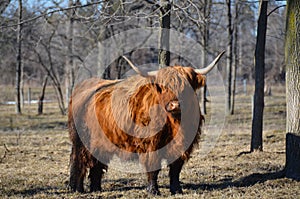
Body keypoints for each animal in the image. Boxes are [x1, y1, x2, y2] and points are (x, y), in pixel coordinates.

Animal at [67, 52, 223, 195]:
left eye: (186, 88)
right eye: (164, 88)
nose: (175, 105)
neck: (175, 124)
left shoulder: (183, 145)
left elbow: (175, 169)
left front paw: (177, 190)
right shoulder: (151, 144)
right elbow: (153, 167)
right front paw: (153, 190)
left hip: (100, 141)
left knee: (97, 162)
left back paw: (96, 188)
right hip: (81, 140)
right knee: (78, 160)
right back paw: (76, 188)